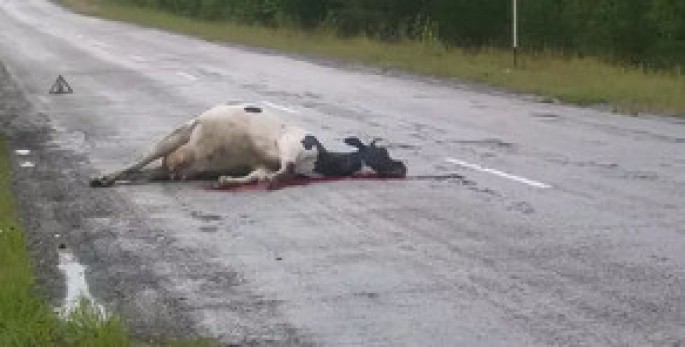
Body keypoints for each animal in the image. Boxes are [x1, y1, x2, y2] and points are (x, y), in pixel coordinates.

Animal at [88, 104, 404, 190]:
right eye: (384, 152)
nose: (403, 166)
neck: (320, 161)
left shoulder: (262, 165)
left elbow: (260, 174)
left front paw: (228, 180)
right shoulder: (291, 142)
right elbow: (285, 167)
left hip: (168, 166)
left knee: (140, 174)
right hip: (176, 135)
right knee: (137, 161)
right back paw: (104, 177)